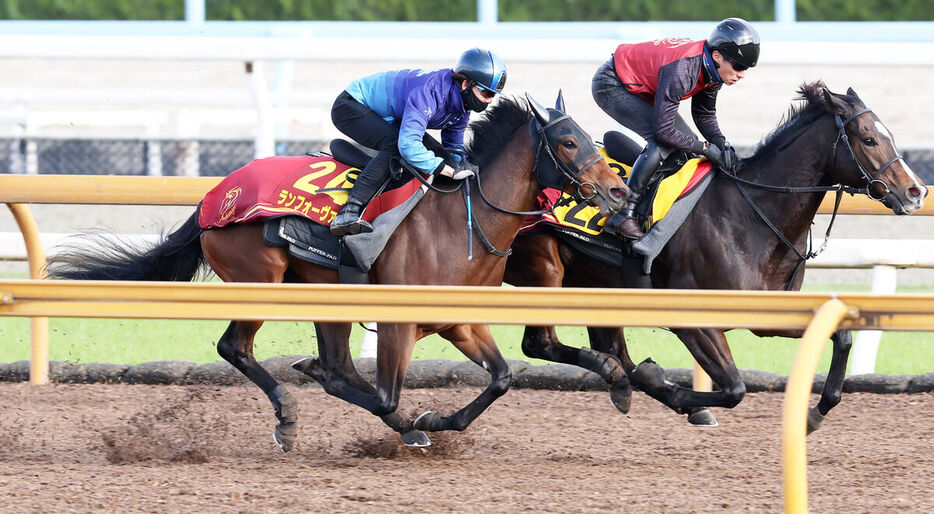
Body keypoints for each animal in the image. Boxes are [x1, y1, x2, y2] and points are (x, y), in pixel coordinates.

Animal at [45, 94, 628, 450]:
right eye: (570, 141)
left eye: (587, 137)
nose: (620, 191)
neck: (462, 220)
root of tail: (216, 196)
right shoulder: (397, 323)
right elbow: (388, 394)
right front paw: (415, 421)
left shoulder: (460, 320)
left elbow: (502, 378)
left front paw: (436, 421)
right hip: (261, 280)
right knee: (240, 349)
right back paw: (290, 413)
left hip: (322, 293)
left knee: (333, 362)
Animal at [504, 82, 928, 430]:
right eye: (869, 139)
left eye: (887, 135)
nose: (916, 191)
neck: (750, 213)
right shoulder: (691, 317)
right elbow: (735, 388)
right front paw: (677, 393)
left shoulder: (768, 311)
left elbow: (842, 336)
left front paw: (815, 412)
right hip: (545, 268)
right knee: (542, 344)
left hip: (594, 283)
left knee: (612, 352)